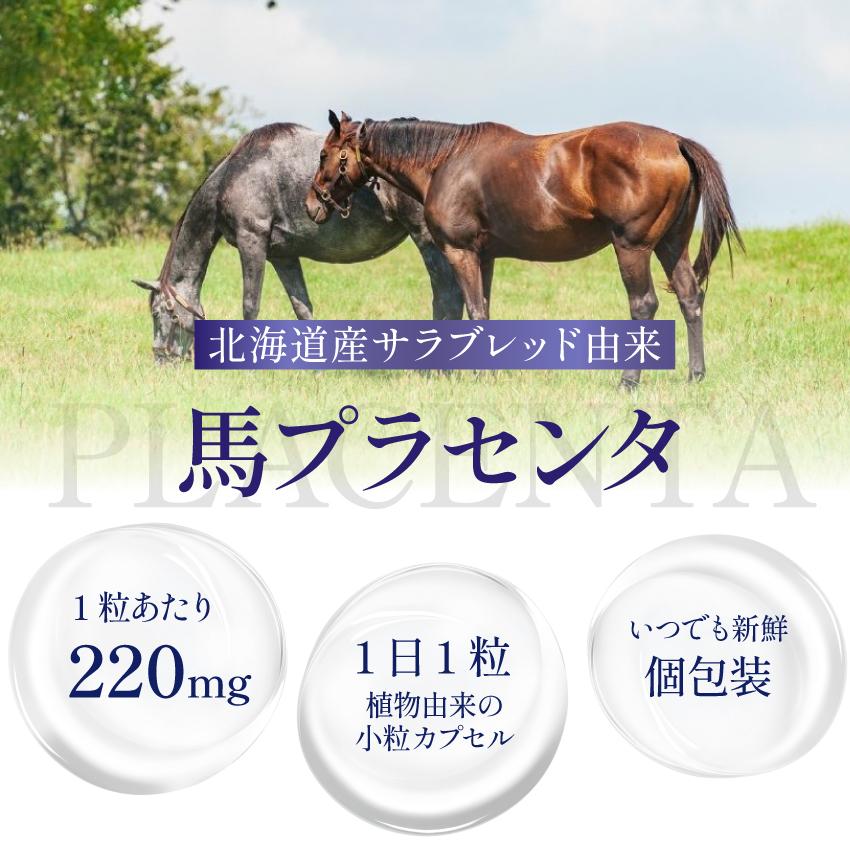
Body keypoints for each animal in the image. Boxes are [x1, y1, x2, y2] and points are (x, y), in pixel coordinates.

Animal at [133, 122, 461, 362]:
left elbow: (250, 304)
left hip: (427, 241)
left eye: (159, 313)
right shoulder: (283, 257)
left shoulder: (252, 242)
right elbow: (302, 307)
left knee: (446, 297)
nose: (161, 359)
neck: (235, 174)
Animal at [306, 111, 743, 387]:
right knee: (690, 298)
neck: (446, 160)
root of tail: (676, 143)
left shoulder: (461, 252)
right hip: (672, 245)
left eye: (325, 154)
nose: (312, 204)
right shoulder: (485, 257)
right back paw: (695, 376)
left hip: (632, 247)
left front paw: (482, 376)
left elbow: (475, 311)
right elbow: (484, 310)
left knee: (644, 305)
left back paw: (628, 380)